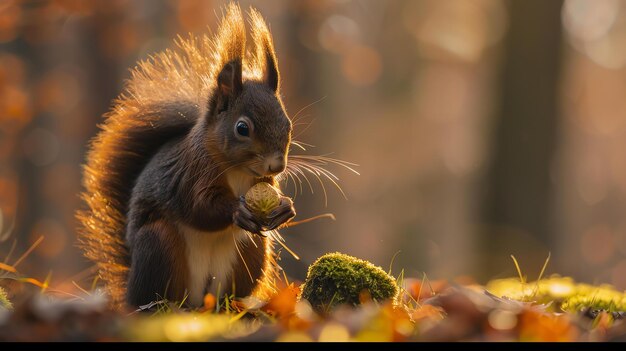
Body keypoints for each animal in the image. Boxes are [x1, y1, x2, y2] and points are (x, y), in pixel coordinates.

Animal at [75, 4, 294, 310]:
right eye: (242, 128)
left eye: (288, 125)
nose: (277, 165)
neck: (238, 170)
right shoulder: (192, 173)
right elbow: (199, 207)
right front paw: (236, 210)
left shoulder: (262, 181)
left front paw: (286, 207)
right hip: (159, 246)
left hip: (250, 251)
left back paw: (237, 306)